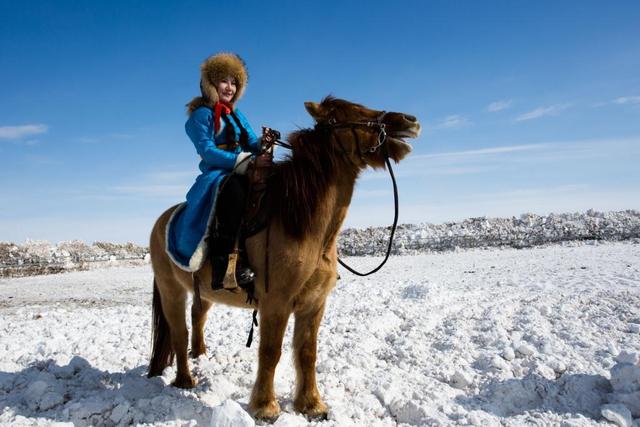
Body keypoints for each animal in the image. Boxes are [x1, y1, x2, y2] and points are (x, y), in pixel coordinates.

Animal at [148, 98, 422, 422]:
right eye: (353, 113)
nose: (409, 120)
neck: (304, 225)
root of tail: (161, 221)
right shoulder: (276, 303)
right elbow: (271, 351)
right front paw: (266, 407)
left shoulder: (314, 304)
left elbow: (306, 353)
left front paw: (312, 405)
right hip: (171, 290)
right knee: (179, 331)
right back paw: (185, 380)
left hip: (204, 291)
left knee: (197, 316)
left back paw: (200, 355)